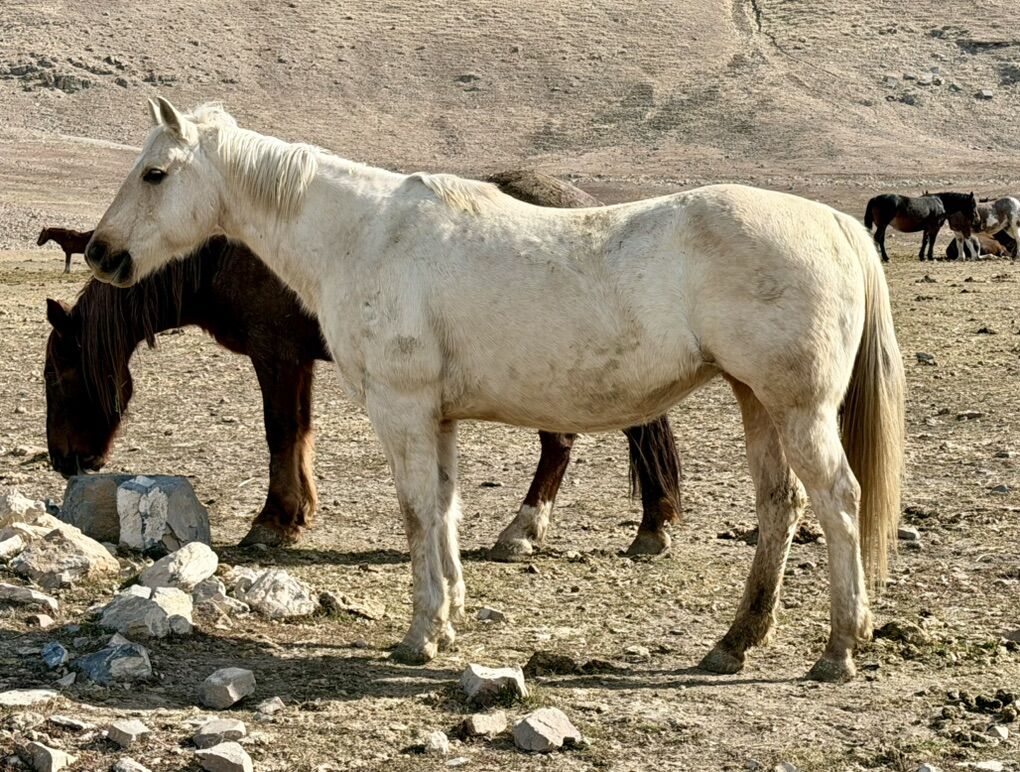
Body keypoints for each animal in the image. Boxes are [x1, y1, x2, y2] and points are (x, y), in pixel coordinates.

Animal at [44, 171, 681, 557]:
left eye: (59, 375)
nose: (65, 462)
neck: (232, 250)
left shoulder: (275, 355)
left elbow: (280, 433)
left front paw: (270, 522)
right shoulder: (298, 359)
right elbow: (300, 434)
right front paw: (297, 514)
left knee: (563, 444)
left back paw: (526, 532)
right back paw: (650, 523)